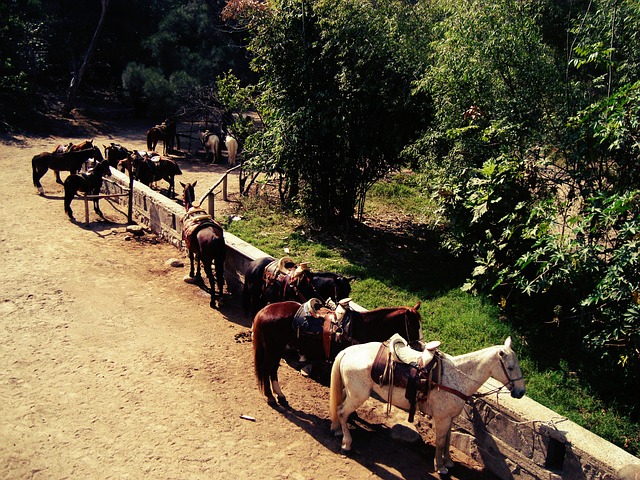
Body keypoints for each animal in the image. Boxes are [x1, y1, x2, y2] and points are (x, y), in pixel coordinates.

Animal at [181, 180, 226, 308]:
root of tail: (216, 238)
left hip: (208, 260)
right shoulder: (198, 250)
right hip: (220, 259)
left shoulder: (189, 245)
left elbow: (192, 258)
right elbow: (197, 258)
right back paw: (221, 299)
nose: (182, 197)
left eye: (183, 191)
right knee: (220, 277)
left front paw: (192, 273)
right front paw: (197, 273)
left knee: (212, 279)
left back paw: (212, 301)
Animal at [252, 302, 422, 406]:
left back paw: (280, 395)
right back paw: (270, 396)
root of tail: (263, 312)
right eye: (413, 325)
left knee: (272, 369)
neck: (363, 328)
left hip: (277, 350)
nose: (419, 346)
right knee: (267, 369)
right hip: (273, 349)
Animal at [330, 336, 524, 474]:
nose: (521, 392)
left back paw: (338, 429)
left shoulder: (449, 418)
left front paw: (448, 462)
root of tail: (347, 351)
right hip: (359, 395)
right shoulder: (442, 418)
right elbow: (440, 441)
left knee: (341, 407)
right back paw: (346, 443)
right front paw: (440, 466)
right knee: (341, 411)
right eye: (510, 367)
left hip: (351, 392)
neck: (456, 377)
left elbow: (447, 440)